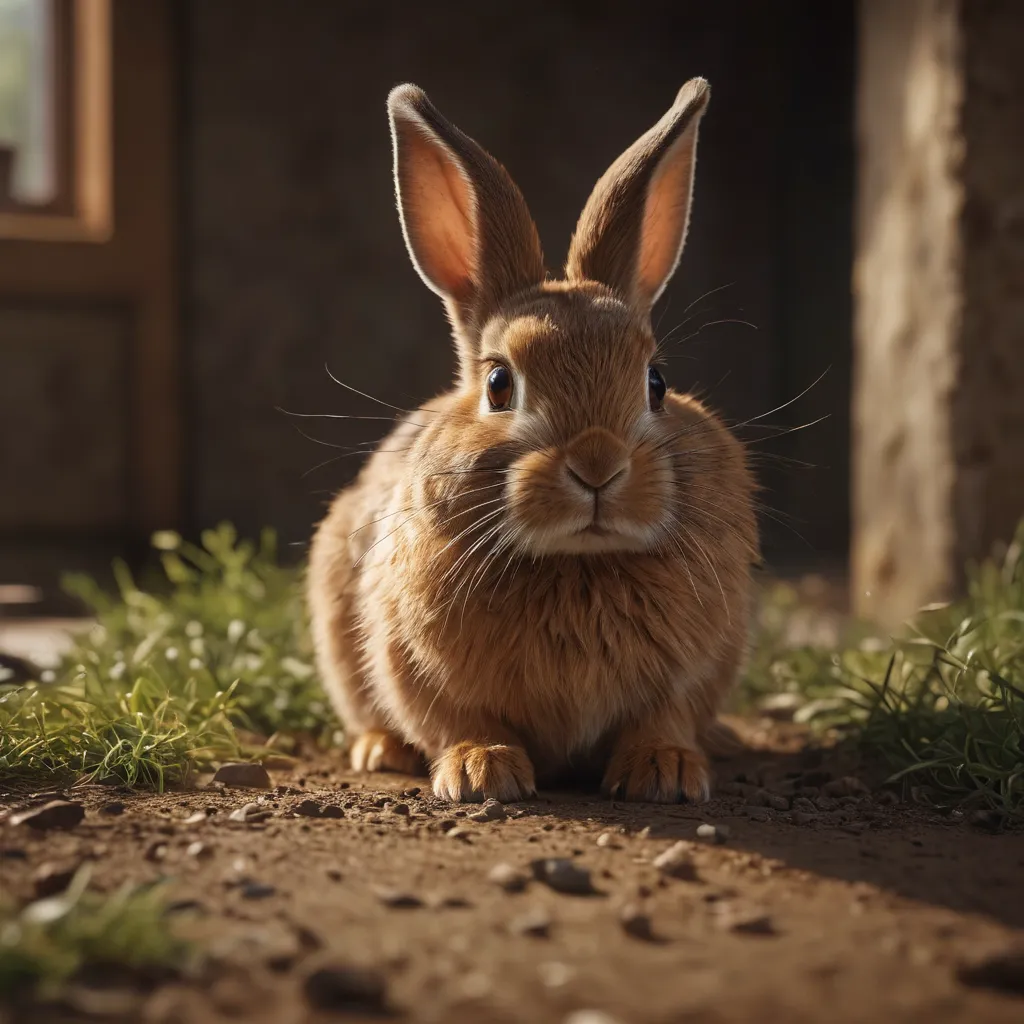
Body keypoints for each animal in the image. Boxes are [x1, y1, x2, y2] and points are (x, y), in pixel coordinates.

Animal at [306, 78, 759, 803]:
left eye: (657, 382)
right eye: (498, 384)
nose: (598, 467)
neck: (576, 561)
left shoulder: (693, 667)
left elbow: (662, 716)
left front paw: (665, 770)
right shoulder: (414, 661)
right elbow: (453, 717)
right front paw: (480, 769)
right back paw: (380, 751)